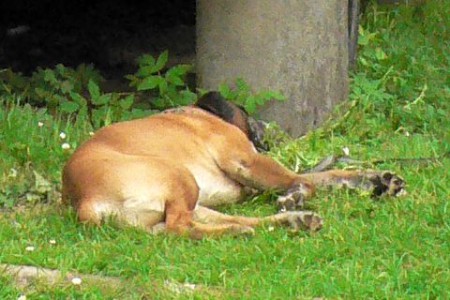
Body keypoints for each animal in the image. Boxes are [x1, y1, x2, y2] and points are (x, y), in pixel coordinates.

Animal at [62, 92, 404, 238]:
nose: (265, 128)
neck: (200, 113)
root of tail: (84, 199)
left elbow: (325, 175)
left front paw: (377, 179)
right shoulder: (248, 161)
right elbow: (305, 181)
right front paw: (295, 195)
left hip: (193, 199)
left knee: (190, 226)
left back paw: (291, 221)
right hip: (180, 176)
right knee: (177, 229)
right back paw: (247, 229)